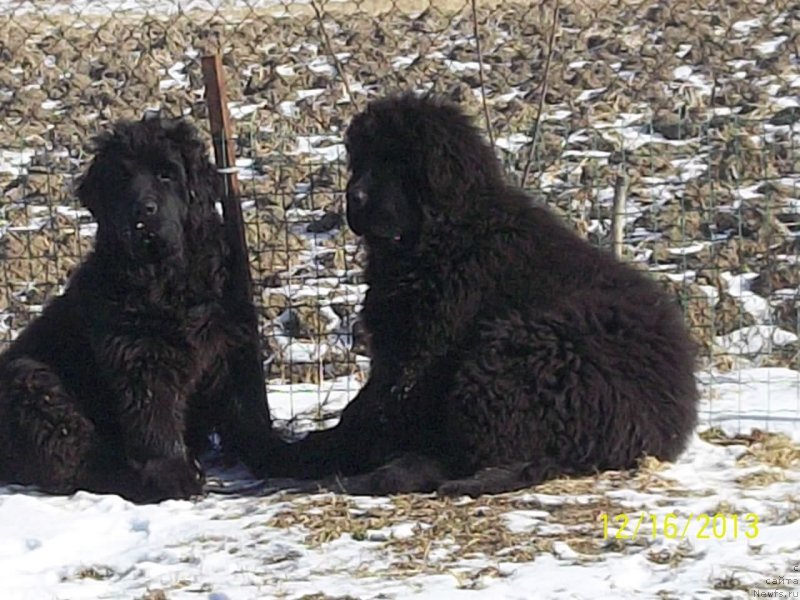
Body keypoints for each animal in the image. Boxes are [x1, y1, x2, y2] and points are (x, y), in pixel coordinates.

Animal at [0, 115, 272, 504]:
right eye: (122, 179)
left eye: (166, 175)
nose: (142, 212)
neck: (167, 278)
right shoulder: (139, 353)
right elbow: (154, 418)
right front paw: (174, 476)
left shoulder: (226, 343)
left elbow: (242, 407)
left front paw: (273, 452)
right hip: (29, 380)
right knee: (73, 459)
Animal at [264, 92, 700, 496]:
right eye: (363, 160)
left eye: (397, 163)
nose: (354, 197)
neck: (443, 237)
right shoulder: (396, 350)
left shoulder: (420, 351)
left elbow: (377, 409)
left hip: (520, 345)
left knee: (484, 450)